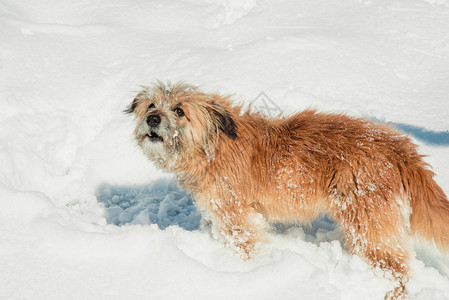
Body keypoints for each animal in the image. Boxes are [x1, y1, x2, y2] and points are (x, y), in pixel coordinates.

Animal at [126, 81, 448, 298]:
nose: (152, 119)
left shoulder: (235, 217)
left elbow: (245, 246)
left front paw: (247, 275)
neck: (212, 146)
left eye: (179, 110)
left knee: (396, 267)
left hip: (367, 222)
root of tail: (400, 147)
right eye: (151, 105)